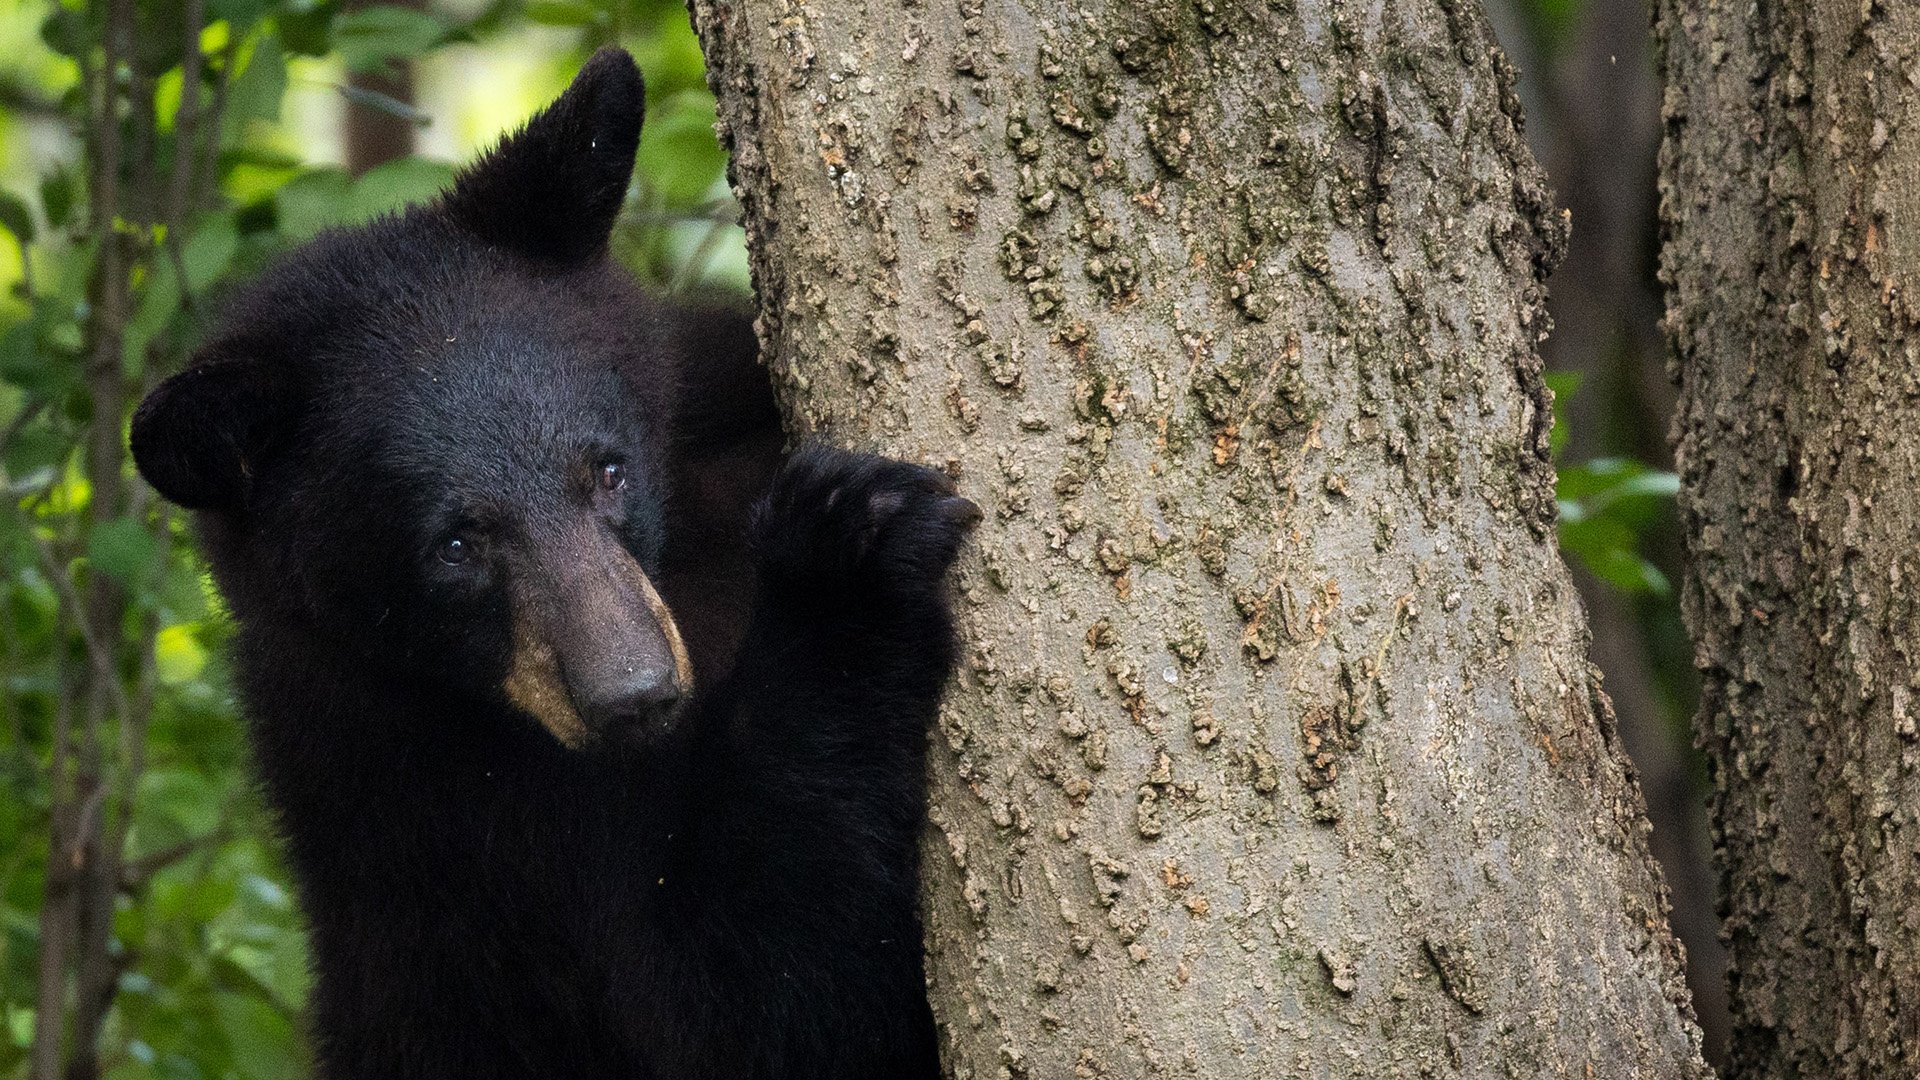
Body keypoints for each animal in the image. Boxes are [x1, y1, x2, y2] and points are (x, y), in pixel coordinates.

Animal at [128, 47, 973, 1080]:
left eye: (607, 470)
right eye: (455, 545)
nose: (636, 695)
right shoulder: (448, 813)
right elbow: (761, 998)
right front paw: (844, 554)